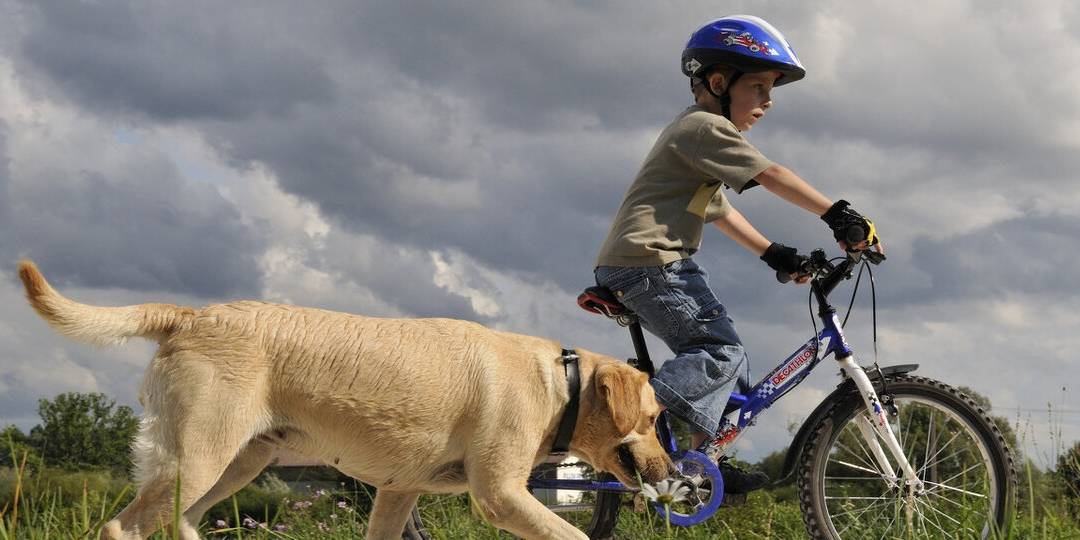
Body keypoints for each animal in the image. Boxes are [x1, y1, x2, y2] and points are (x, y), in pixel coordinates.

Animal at [16, 259, 669, 537]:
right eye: (655, 417)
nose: (674, 472)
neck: (562, 382)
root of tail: (190, 314)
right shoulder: (500, 494)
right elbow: (575, 536)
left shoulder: (399, 492)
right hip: (196, 460)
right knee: (119, 529)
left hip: (233, 465)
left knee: (181, 524)